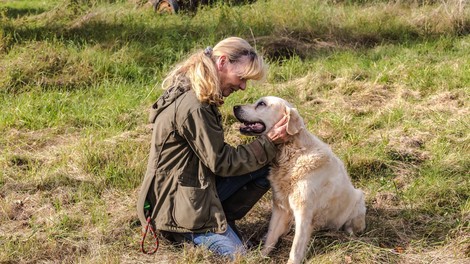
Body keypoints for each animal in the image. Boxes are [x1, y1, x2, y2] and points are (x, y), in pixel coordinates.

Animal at [233, 97, 366, 264]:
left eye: (262, 104)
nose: (235, 107)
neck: (292, 153)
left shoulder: (303, 212)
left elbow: (295, 248)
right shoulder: (280, 207)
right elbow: (271, 236)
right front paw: (261, 256)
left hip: (359, 200)